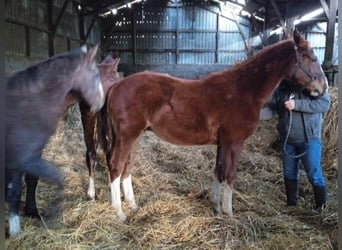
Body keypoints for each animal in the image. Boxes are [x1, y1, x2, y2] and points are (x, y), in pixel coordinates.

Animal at [5, 45, 104, 236]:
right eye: (96, 74)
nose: (101, 103)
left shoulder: (28, 155)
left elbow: (29, 181)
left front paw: (32, 212)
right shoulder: (21, 156)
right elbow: (53, 178)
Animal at [103, 28, 326, 222]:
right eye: (312, 57)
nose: (322, 88)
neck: (244, 89)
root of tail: (117, 86)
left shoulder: (223, 143)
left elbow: (219, 171)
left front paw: (217, 207)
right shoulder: (234, 143)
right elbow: (230, 174)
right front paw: (229, 212)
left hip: (136, 136)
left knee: (127, 167)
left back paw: (133, 205)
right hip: (127, 136)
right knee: (115, 166)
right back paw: (120, 213)